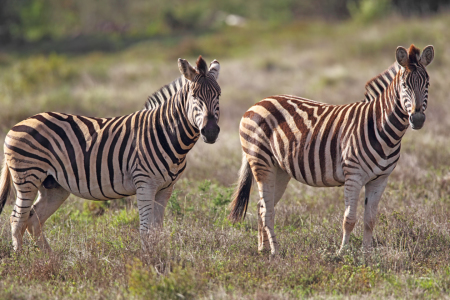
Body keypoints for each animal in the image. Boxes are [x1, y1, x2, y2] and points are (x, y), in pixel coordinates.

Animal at [0, 55, 221, 251]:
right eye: (194, 97)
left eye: (218, 95)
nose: (210, 131)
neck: (166, 134)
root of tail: (17, 125)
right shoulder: (145, 184)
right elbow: (146, 230)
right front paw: (148, 261)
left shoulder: (166, 188)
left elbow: (157, 230)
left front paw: (161, 257)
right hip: (28, 178)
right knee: (17, 219)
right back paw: (21, 259)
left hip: (53, 186)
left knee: (33, 220)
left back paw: (50, 260)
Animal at [230, 44, 434, 255]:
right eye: (404, 86)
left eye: (427, 84)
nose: (417, 119)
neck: (380, 127)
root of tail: (258, 102)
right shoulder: (353, 175)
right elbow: (349, 219)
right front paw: (342, 253)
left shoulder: (380, 180)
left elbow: (370, 220)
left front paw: (367, 255)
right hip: (261, 162)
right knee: (267, 210)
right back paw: (275, 252)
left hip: (279, 170)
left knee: (262, 206)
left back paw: (263, 249)